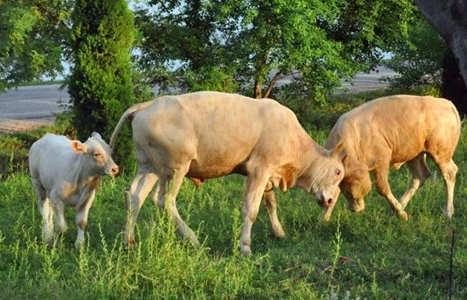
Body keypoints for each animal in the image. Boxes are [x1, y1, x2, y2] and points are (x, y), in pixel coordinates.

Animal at [109, 91, 344, 255]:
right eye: (338, 172)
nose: (330, 200)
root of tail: (148, 104)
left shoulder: (268, 174)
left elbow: (270, 203)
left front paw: (279, 232)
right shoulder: (259, 169)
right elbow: (251, 209)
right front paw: (245, 247)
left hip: (149, 166)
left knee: (135, 196)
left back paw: (129, 241)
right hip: (175, 168)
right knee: (163, 200)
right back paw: (194, 240)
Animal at [326, 95, 460, 221]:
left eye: (349, 192)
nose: (354, 209)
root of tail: (447, 103)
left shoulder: (382, 161)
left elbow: (382, 188)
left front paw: (402, 215)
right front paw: (324, 220)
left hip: (440, 153)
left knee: (449, 173)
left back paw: (448, 212)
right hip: (415, 154)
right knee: (420, 176)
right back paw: (398, 208)